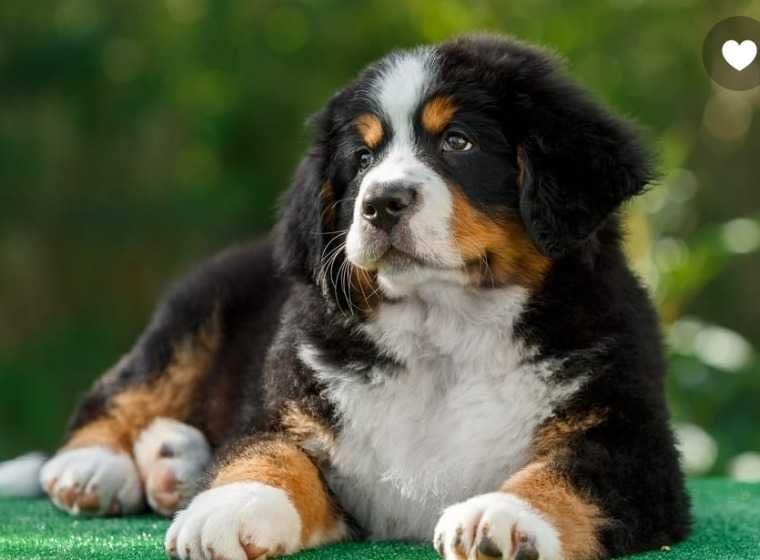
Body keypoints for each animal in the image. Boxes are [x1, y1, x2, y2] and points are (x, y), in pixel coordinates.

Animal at [36, 34, 690, 560]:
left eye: (458, 142)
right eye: (363, 157)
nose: (381, 203)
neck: (445, 333)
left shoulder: (634, 444)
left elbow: (569, 472)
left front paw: (503, 516)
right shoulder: (293, 407)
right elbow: (266, 452)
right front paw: (230, 506)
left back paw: (173, 462)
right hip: (196, 312)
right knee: (122, 390)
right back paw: (94, 468)